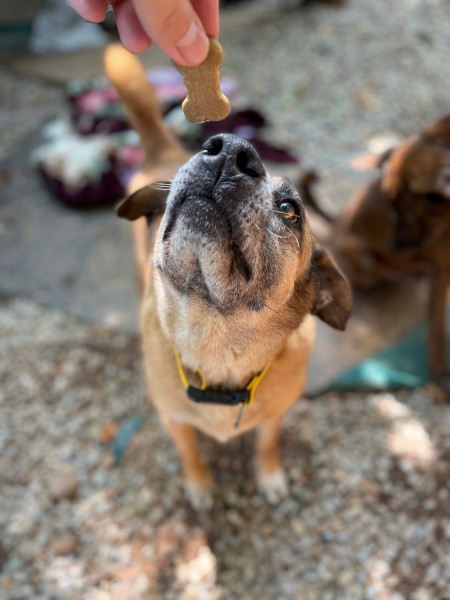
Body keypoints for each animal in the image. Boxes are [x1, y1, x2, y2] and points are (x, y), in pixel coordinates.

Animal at [104, 44, 352, 508]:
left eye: (290, 209)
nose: (228, 148)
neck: (215, 341)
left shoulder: (275, 416)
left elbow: (267, 444)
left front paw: (270, 477)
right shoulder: (175, 421)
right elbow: (189, 453)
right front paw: (200, 486)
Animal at [298, 114, 450, 390]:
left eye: (413, 213)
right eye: (391, 211)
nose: (395, 247)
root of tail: (338, 223)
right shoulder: (441, 268)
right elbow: (436, 330)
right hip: (366, 264)